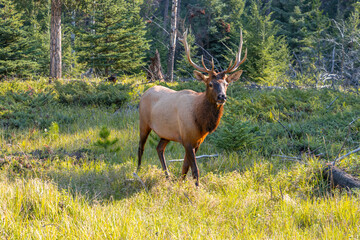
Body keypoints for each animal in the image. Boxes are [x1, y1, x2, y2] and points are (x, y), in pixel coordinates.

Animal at [136, 28, 246, 186]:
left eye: (226, 84)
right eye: (210, 84)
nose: (222, 97)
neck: (201, 121)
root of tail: (145, 91)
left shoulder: (197, 141)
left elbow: (185, 167)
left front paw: (180, 183)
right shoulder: (187, 139)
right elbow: (194, 170)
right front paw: (197, 187)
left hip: (166, 133)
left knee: (159, 148)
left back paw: (167, 176)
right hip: (143, 122)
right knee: (141, 147)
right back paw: (138, 172)